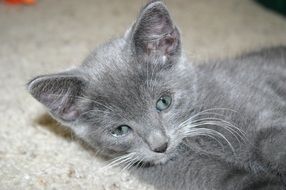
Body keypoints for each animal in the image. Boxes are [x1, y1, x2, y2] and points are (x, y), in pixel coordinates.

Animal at [27, 0, 286, 189]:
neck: (194, 138)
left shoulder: (258, 114)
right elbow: (249, 182)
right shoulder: (194, 174)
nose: (160, 145)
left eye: (163, 103)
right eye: (120, 130)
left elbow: (272, 142)